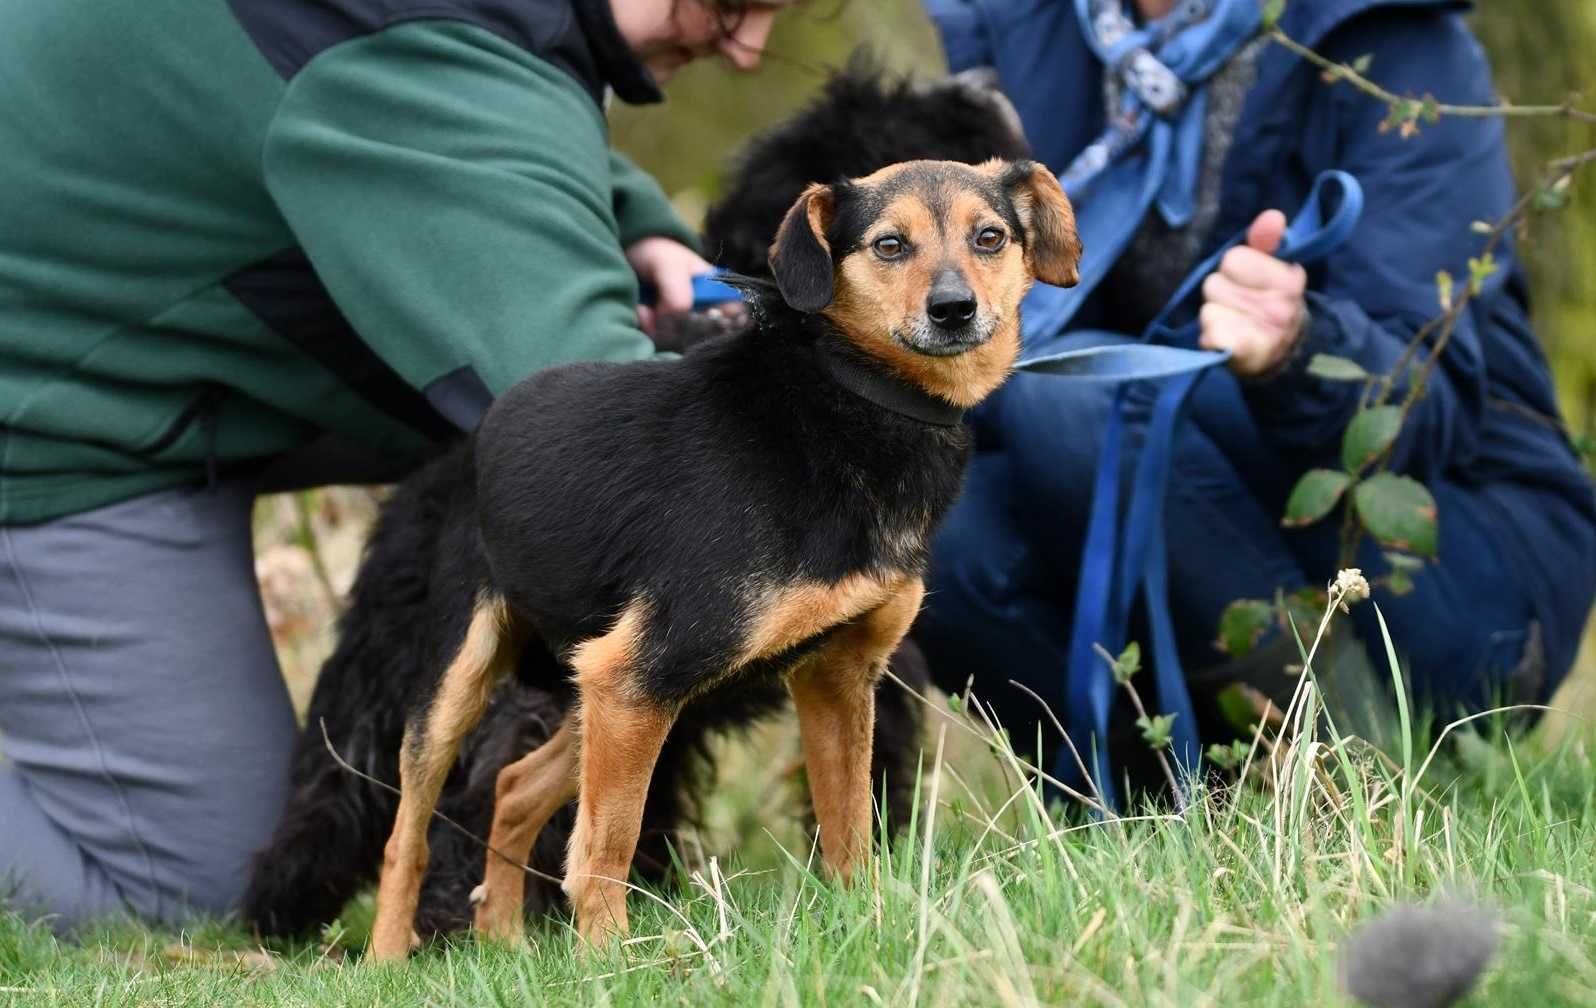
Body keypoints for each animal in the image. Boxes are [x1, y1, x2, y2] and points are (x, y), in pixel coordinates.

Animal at [239, 59, 1034, 944]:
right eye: (889, 239)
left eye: (989, 233)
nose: (981, 77)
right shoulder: (669, 674)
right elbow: (608, 837)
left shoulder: (834, 671)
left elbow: (851, 815)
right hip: (473, 678)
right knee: (424, 817)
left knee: (494, 790)